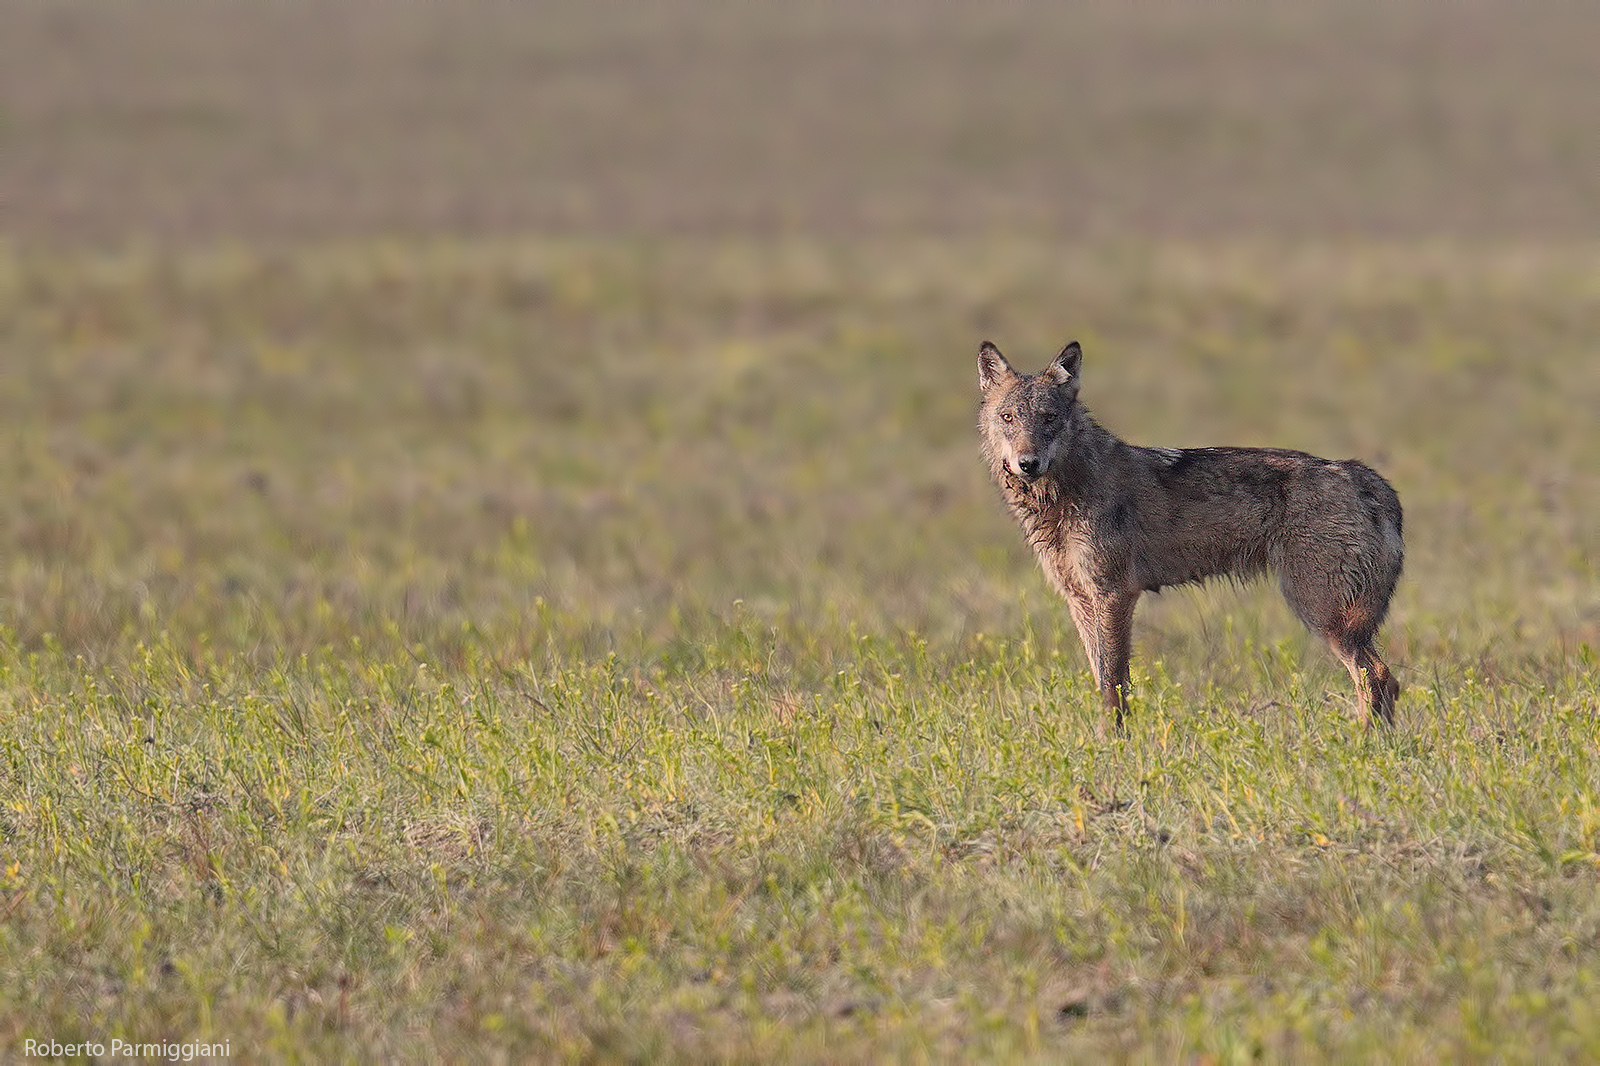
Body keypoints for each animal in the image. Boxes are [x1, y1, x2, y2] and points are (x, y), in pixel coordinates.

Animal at [978, 340, 1403, 732]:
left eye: (1049, 418)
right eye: (1008, 417)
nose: (1028, 463)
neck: (1064, 492)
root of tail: (1365, 476)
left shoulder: (1114, 595)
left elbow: (1113, 686)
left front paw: (1112, 746)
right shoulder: (1080, 600)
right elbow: (1102, 679)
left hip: (1322, 615)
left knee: (1378, 678)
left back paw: (1362, 748)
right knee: (1386, 680)